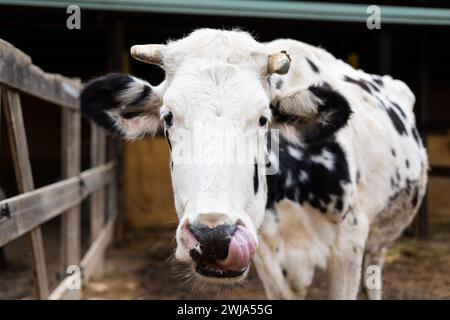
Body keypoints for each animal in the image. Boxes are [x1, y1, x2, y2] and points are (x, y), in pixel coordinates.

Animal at [79, 28, 428, 298]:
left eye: (263, 118)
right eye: (168, 117)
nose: (213, 237)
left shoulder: (349, 245)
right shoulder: (270, 256)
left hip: (378, 239)